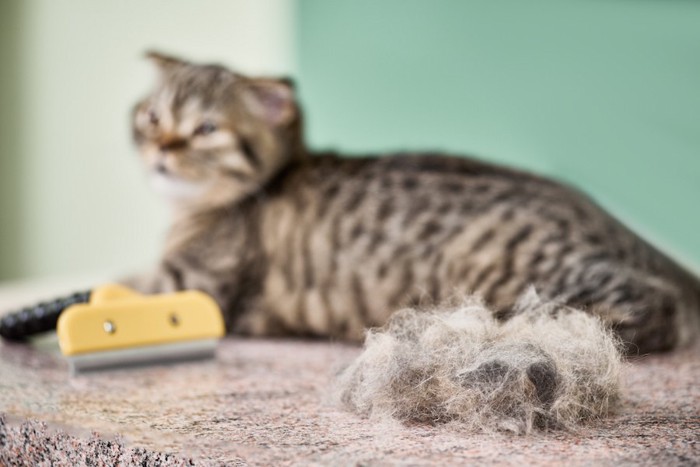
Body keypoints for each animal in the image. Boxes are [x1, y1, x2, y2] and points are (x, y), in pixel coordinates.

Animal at [127, 52, 700, 432]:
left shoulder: (191, 279)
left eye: (206, 129)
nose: (161, 148)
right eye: (152, 117)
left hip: (509, 264)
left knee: (649, 310)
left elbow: (120, 286)